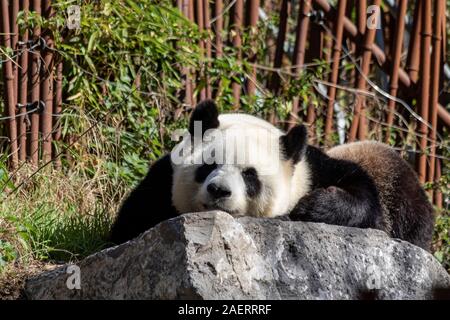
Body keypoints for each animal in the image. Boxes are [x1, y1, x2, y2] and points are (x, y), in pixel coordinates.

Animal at [110, 99, 436, 250]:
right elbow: (129, 227)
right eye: (208, 166)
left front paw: (311, 207)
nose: (219, 191)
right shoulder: (160, 182)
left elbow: (366, 203)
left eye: (250, 176)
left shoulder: (314, 169)